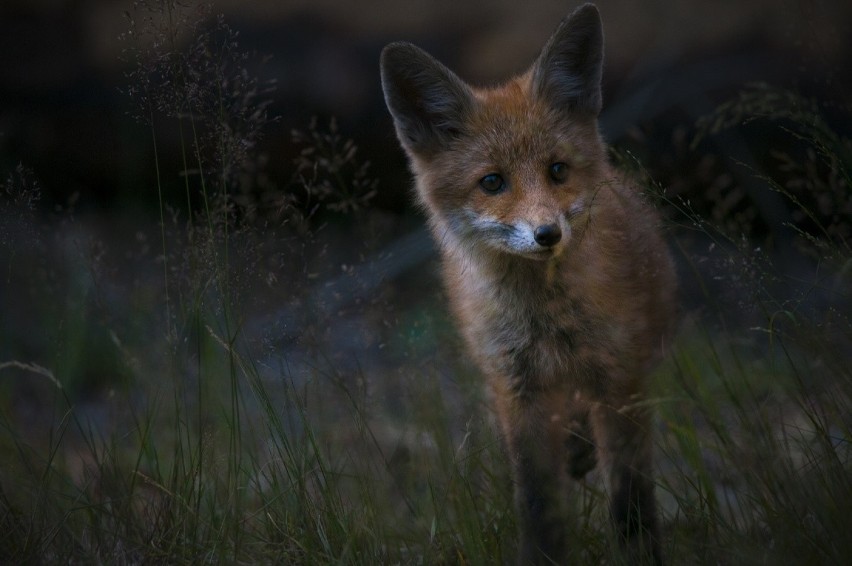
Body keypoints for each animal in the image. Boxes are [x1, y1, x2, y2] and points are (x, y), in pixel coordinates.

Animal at [380, 3, 680, 564]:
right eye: (492, 182)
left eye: (557, 170)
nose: (547, 234)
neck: (547, 322)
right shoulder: (518, 389)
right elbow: (538, 498)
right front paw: (544, 552)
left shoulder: (618, 378)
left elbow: (630, 496)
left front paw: (638, 550)